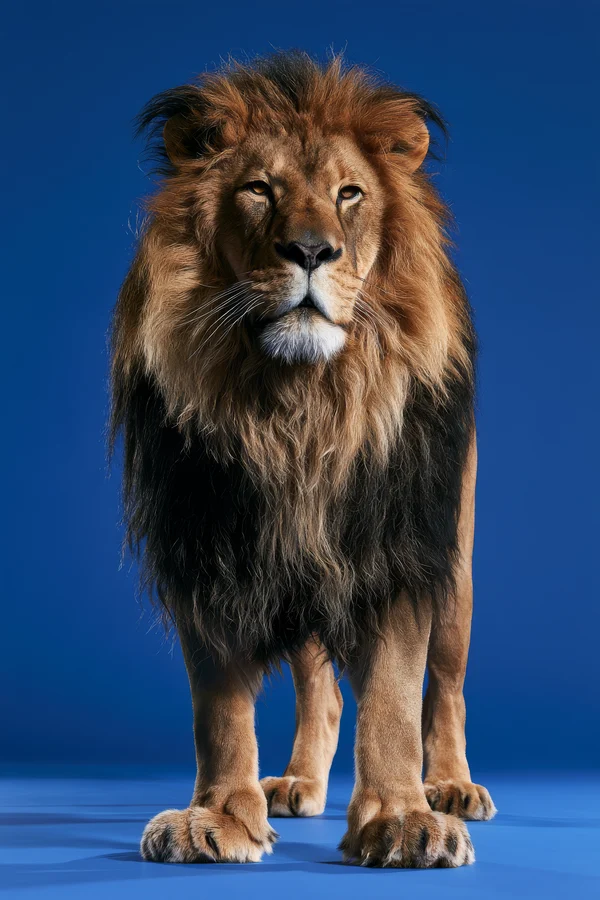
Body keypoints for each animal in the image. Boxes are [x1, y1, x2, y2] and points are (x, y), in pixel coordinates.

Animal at [110, 51, 497, 869]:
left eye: (350, 194)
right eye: (259, 190)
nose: (313, 251)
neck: (299, 409)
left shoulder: (397, 546)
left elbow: (393, 694)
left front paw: (402, 819)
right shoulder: (211, 549)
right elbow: (220, 709)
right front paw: (219, 815)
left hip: (457, 562)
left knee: (445, 686)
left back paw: (451, 787)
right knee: (320, 684)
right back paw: (297, 782)